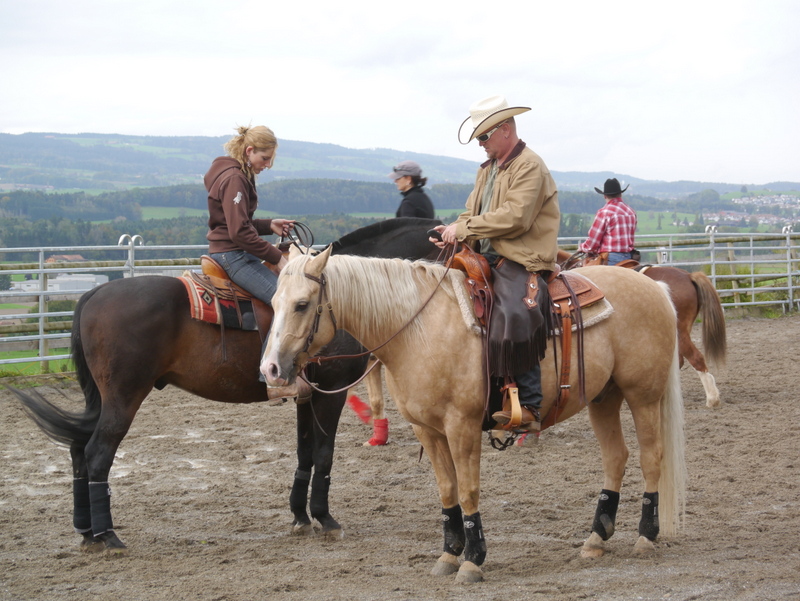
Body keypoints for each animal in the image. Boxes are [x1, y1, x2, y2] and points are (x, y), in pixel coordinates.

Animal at [9, 217, 441, 555]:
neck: (337, 297)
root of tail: (95, 293)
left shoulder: (304, 396)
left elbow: (304, 455)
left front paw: (300, 516)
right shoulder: (329, 393)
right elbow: (324, 455)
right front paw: (325, 518)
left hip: (100, 398)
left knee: (78, 451)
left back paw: (87, 532)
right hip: (123, 397)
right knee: (97, 454)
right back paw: (109, 536)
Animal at [263, 247, 687, 583]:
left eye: (302, 304)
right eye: (274, 302)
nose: (270, 369)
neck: (417, 329)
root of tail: (654, 286)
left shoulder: (461, 426)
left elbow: (468, 490)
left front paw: (473, 559)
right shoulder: (427, 430)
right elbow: (447, 490)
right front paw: (449, 554)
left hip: (643, 396)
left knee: (652, 458)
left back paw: (646, 535)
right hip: (603, 398)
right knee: (616, 458)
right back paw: (597, 538)